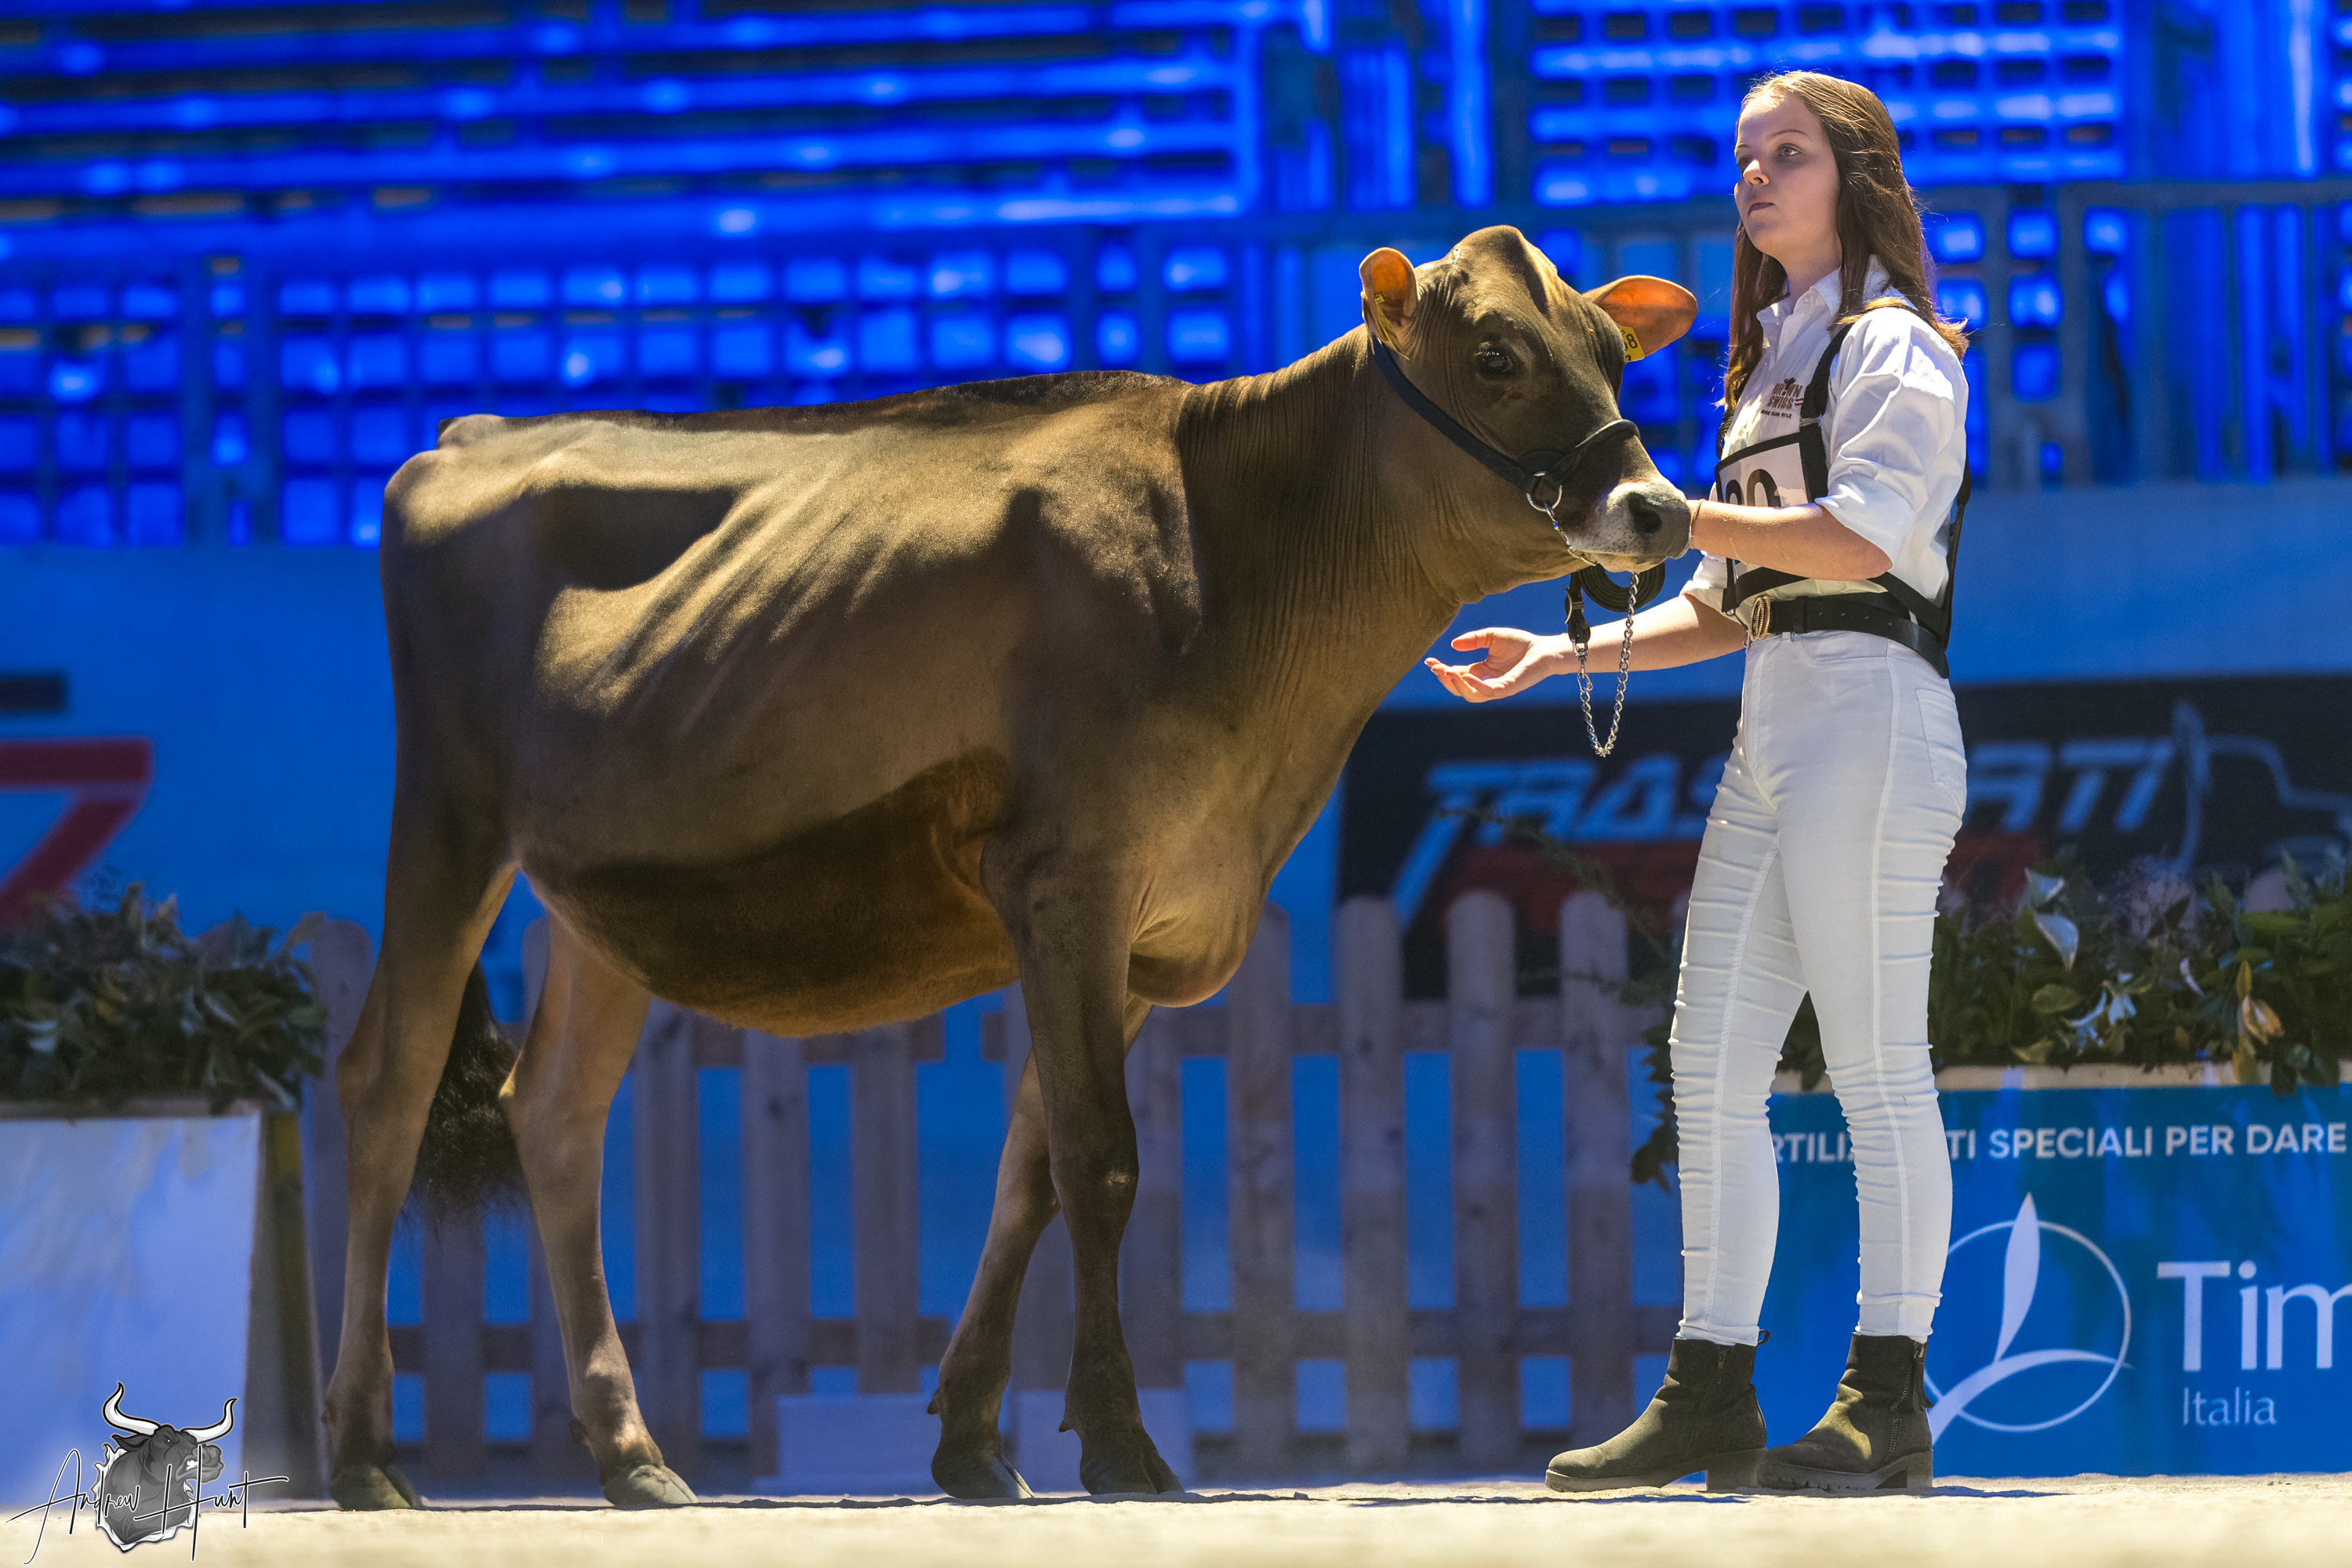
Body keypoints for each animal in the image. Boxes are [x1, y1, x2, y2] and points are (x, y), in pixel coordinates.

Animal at [320, 224, 1695, 1509]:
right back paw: (363, 1452)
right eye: (1498, 356)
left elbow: (1029, 1168)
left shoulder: (1142, 925)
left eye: (1617, 353)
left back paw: (632, 1455)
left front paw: (977, 1441)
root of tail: (472, 432)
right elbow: (1101, 1158)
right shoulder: (1064, 880)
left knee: (555, 1113)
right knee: (387, 1085)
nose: (1661, 509)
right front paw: (1122, 1441)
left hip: (603, 898)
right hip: (446, 814)